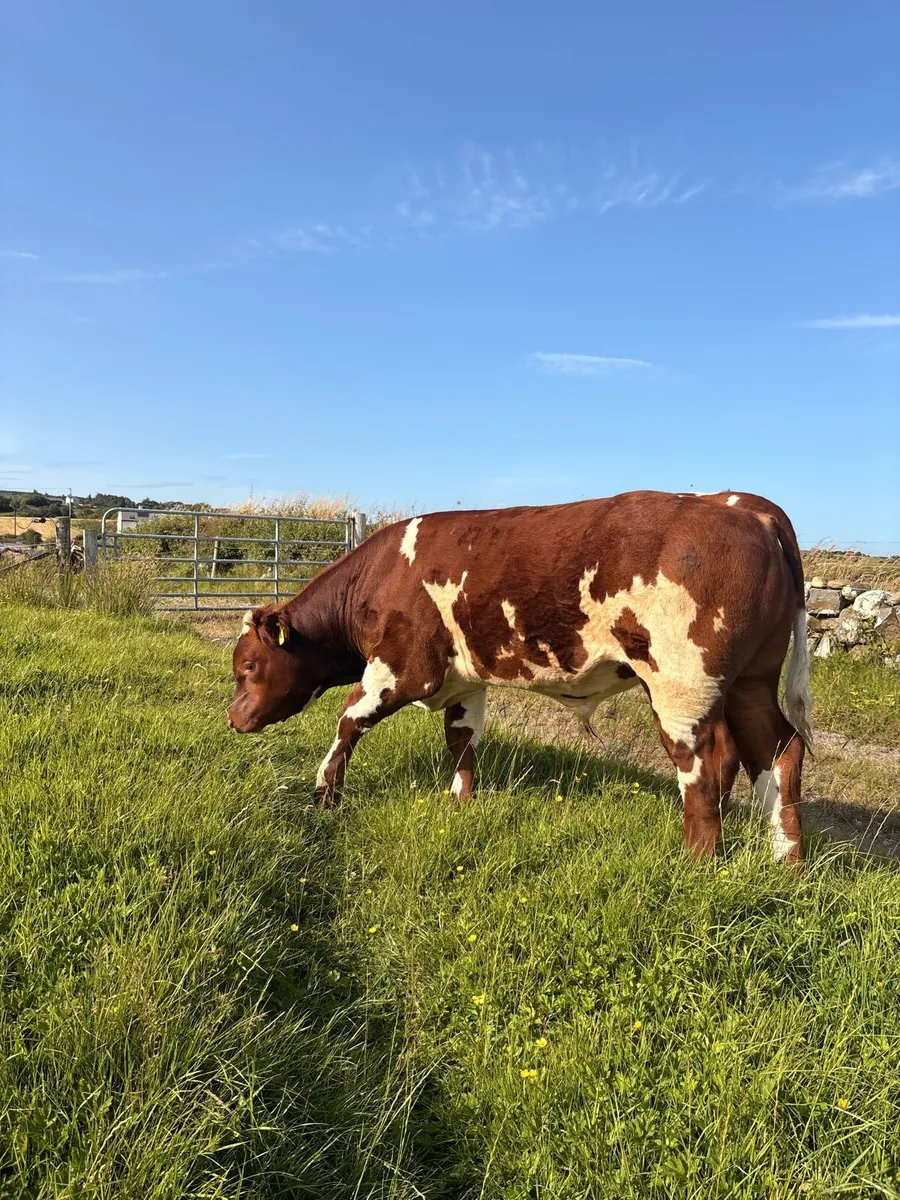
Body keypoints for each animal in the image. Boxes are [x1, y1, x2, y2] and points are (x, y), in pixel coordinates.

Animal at [228, 491, 812, 864]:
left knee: (707, 764)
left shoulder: (402, 668)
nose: (233, 719)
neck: (385, 570)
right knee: (777, 750)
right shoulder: (463, 680)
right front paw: (460, 802)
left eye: (248, 666)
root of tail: (746, 505)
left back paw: (696, 863)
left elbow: (348, 722)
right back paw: (785, 861)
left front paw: (326, 794)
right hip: (750, 681)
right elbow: (462, 741)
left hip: (682, 684)